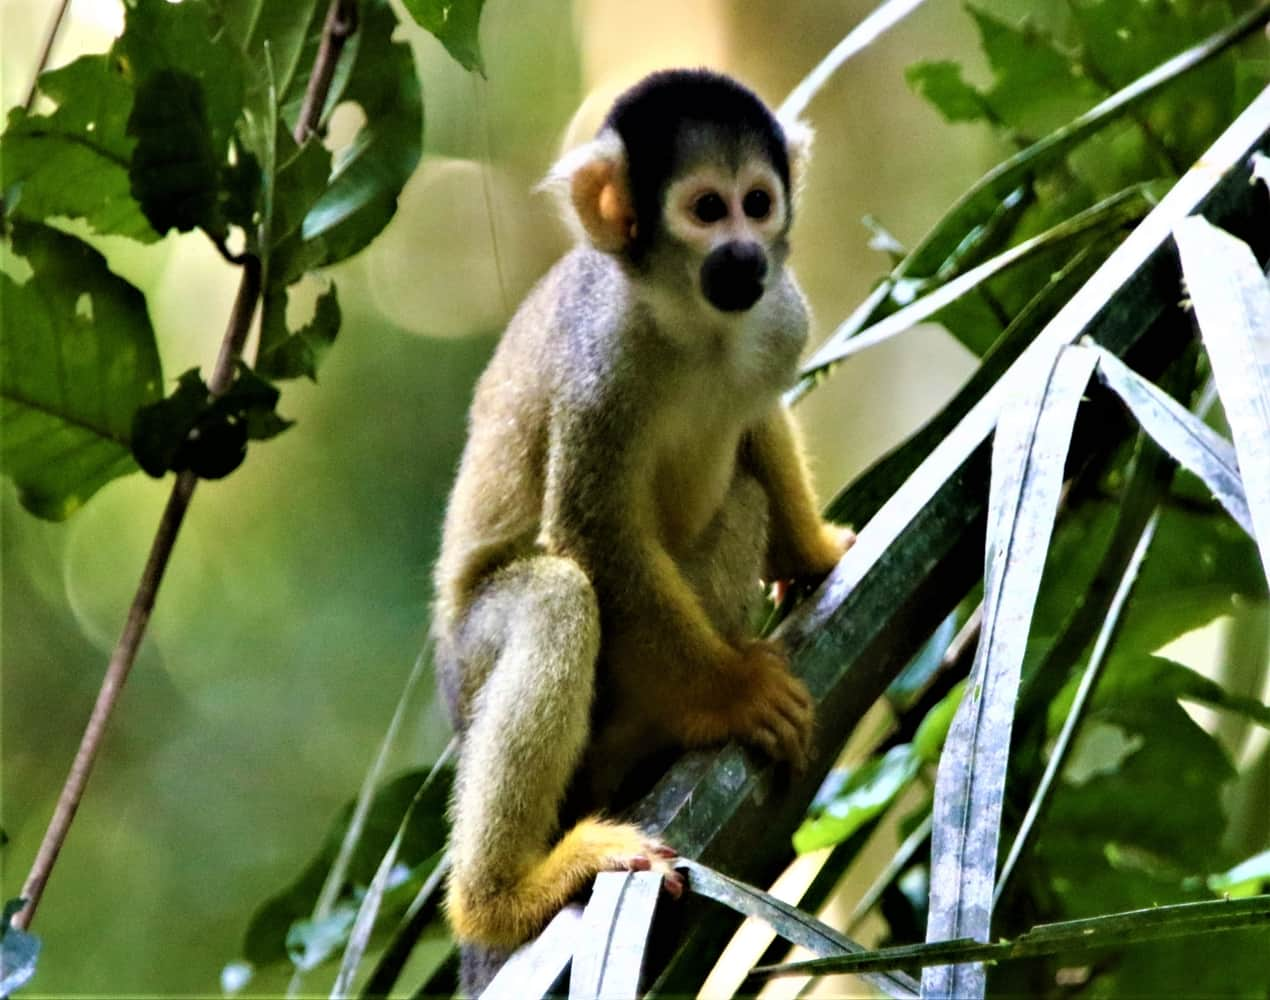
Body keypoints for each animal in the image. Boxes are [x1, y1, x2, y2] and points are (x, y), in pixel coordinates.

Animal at [431, 68, 848, 986]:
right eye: (706, 210)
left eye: (758, 203)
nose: (745, 254)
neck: (695, 322)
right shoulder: (603, 361)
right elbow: (592, 532)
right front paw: (733, 695)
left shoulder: (781, 314)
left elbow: (758, 420)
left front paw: (814, 553)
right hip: (466, 669)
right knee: (556, 598)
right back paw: (507, 896)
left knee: (741, 493)